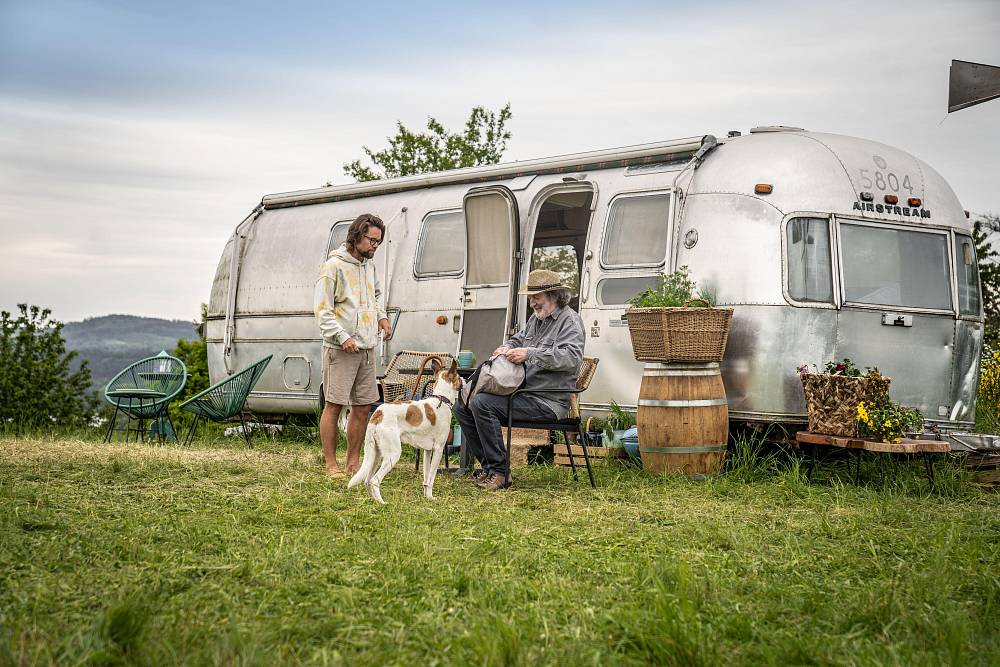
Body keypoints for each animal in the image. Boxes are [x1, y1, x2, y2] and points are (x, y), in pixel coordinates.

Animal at [350, 358, 462, 504]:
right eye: (459, 377)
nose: (464, 381)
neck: (441, 399)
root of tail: (378, 413)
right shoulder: (438, 449)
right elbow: (431, 478)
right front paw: (431, 498)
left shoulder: (427, 451)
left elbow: (426, 479)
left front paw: (427, 497)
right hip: (393, 455)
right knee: (374, 480)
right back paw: (382, 503)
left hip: (376, 455)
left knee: (367, 480)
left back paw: (374, 501)